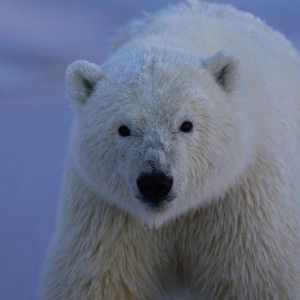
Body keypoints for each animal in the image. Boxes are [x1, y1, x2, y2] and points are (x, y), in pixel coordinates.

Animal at [41, 1, 300, 298]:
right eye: (123, 128)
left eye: (186, 124)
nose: (155, 183)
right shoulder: (108, 212)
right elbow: (97, 280)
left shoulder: (239, 203)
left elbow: (256, 280)